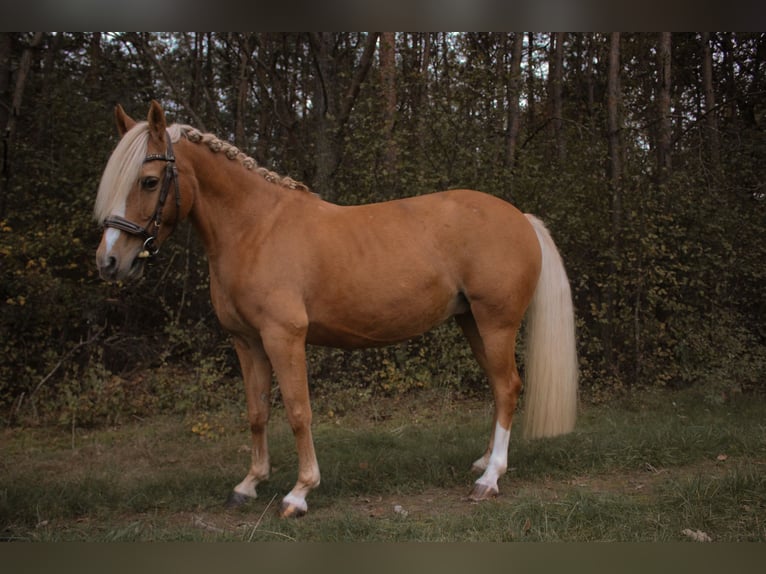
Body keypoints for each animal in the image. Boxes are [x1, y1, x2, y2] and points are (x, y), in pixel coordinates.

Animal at [94, 101, 576, 520]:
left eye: (149, 181)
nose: (110, 261)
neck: (255, 228)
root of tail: (520, 217)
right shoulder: (247, 342)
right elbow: (257, 413)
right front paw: (248, 485)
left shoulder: (283, 337)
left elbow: (298, 411)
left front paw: (299, 493)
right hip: (471, 322)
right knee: (498, 388)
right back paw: (483, 462)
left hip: (496, 323)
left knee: (508, 387)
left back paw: (490, 479)